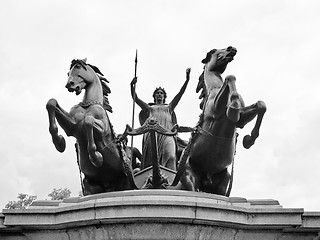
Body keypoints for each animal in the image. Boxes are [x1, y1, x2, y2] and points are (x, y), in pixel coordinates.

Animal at [45, 58, 136, 195]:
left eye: (78, 67)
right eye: (68, 73)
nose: (69, 85)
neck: (88, 104)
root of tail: (109, 186)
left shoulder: (103, 131)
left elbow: (88, 121)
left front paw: (96, 158)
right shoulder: (72, 127)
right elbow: (51, 103)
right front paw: (59, 142)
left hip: (125, 184)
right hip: (90, 186)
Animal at [174, 46, 266, 196]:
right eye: (213, 51)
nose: (232, 48)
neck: (215, 87)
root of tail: (206, 178)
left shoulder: (241, 120)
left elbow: (261, 105)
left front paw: (249, 140)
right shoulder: (216, 110)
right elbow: (230, 77)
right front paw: (233, 106)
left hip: (223, 182)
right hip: (189, 175)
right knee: (192, 189)